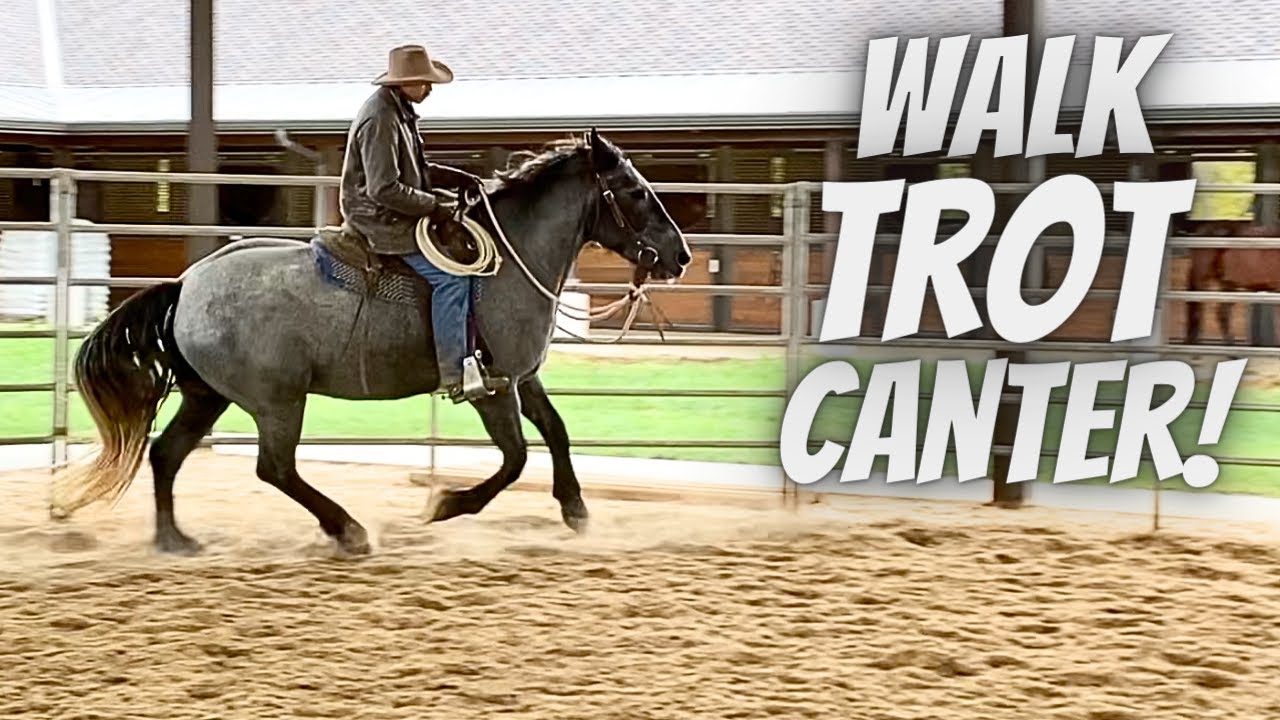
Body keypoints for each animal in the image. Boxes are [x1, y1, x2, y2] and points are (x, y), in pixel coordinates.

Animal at [48, 129, 692, 556]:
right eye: (634, 191)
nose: (681, 255)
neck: (507, 262)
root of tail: (186, 286)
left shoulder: (520, 377)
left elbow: (556, 433)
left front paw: (577, 509)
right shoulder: (492, 389)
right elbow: (514, 460)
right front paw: (446, 505)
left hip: (210, 396)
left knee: (167, 454)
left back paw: (175, 539)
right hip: (276, 402)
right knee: (274, 468)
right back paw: (348, 531)